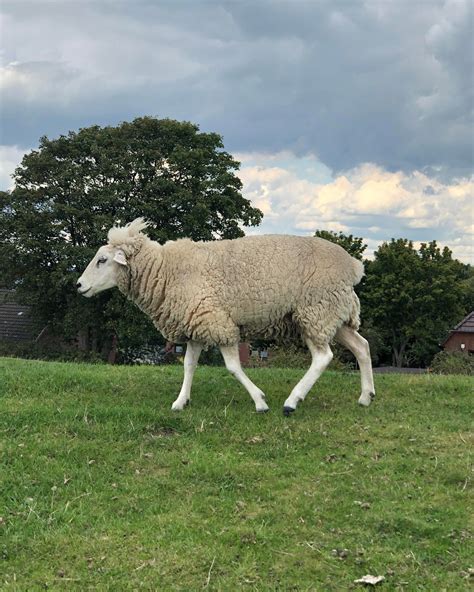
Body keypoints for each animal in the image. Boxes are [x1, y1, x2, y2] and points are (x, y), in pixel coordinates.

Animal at [77, 219, 374, 416]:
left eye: (102, 260)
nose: (78, 285)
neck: (166, 271)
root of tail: (354, 266)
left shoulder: (218, 323)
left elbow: (232, 367)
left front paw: (260, 401)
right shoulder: (197, 324)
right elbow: (189, 366)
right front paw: (180, 402)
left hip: (315, 310)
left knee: (323, 357)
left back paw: (292, 401)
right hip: (333, 314)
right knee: (362, 347)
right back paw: (366, 397)